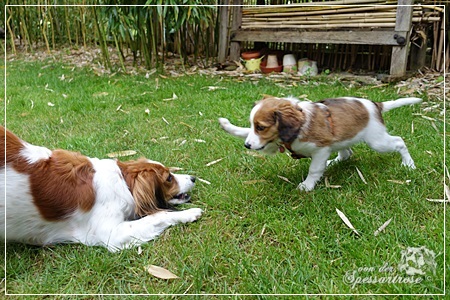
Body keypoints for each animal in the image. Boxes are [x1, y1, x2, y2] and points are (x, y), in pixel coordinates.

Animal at [0, 125, 203, 252]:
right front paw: (189, 213)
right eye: (169, 178)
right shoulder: (111, 233)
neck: (123, 182)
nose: (193, 178)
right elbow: (158, 215)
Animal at [219, 95, 422, 191]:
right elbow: (243, 132)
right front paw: (227, 125)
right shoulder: (272, 142)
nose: (247, 146)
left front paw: (307, 186)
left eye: (261, 127)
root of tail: (375, 105)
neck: (300, 125)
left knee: (399, 141)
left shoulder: (321, 149)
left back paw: (409, 164)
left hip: (377, 141)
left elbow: (314, 169)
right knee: (346, 154)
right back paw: (333, 163)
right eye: (254, 125)